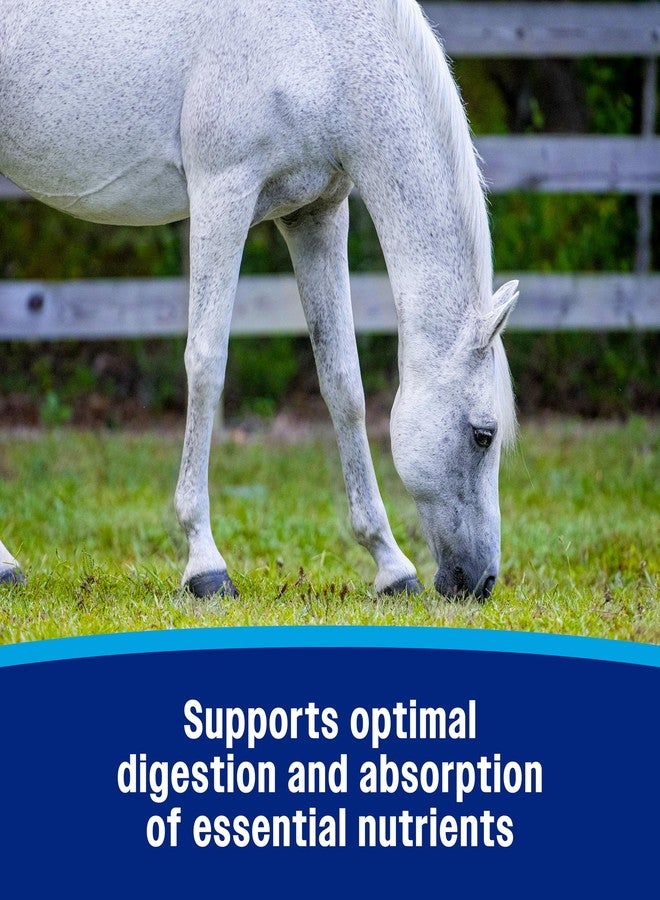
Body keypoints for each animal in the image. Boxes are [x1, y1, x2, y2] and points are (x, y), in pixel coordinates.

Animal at [0, 0, 518, 600]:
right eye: (483, 434)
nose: (480, 582)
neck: (324, 40)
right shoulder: (222, 192)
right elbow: (206, 366)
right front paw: (205, 564)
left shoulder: (316, 213)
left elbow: (343, 384)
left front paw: (392, 566)